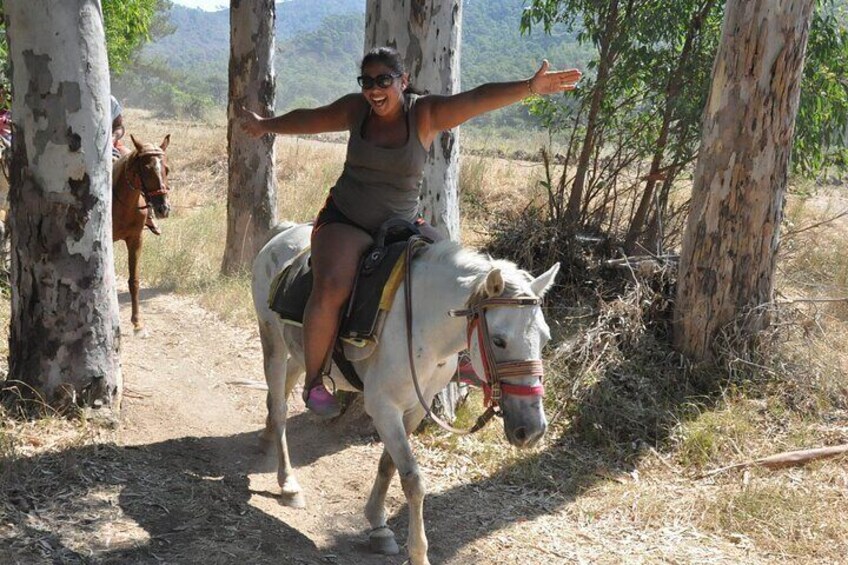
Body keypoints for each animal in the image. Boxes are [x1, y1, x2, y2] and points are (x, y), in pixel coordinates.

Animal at [112, 134, 172, 332]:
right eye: (145, 170)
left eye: (167, 169)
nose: (163, 209)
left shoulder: (136, 239)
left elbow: (134, 280)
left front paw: (137, 322)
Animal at [248, 223, 560, 564]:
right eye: (500, 341)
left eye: (545, 338)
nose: (532, 430)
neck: (422, 323)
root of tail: (283, 233)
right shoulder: (384, 407)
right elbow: (412, 478)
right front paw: (418, 551)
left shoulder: (415, 408)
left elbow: (388, 464)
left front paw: (378, 524)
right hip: (273, 342)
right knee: (280, 408)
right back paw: (288, 484)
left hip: (297, 354)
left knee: (281, 392)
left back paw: (265, 440)